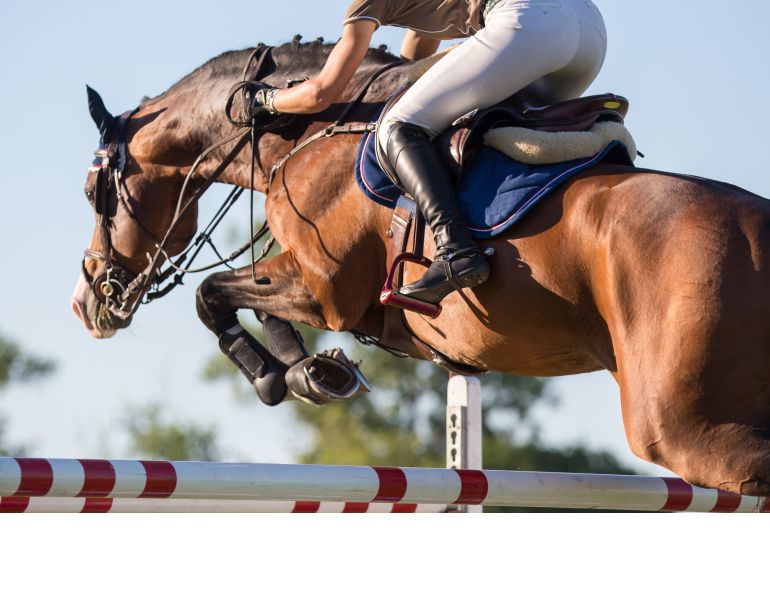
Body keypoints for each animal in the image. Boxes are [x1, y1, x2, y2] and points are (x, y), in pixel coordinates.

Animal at [71, 39, 770, 496]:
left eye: (92, 192)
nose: (88, 304)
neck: (307, 133)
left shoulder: (323, 286)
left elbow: (212, 294)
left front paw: (281, 376)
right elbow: (229, 299)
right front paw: (314, 372)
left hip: (683, 426)